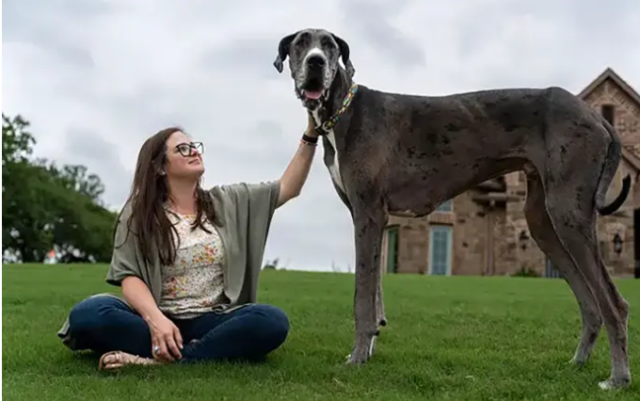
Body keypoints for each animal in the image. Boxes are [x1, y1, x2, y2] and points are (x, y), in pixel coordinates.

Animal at [270, 27, 632, 388]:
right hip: (543, 222)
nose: (315, 63)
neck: (344, 111)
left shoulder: (368, 214)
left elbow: (362, 297)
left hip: (567, 214)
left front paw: (357, 357)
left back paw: (618, 378)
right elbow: (374, 292)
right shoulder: (375, 221)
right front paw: (369, 348)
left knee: (614, 303)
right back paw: (578, 362)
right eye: (301, 43)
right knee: (591, 303)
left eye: (329, 45)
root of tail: (598, 118)